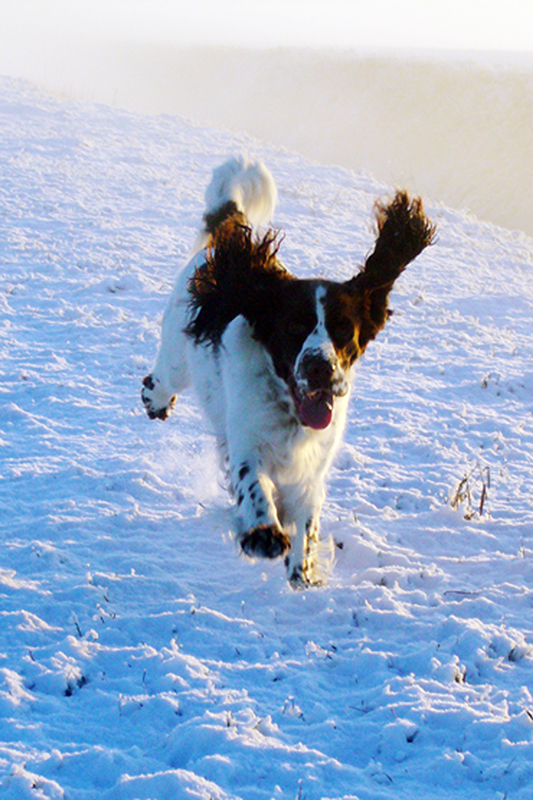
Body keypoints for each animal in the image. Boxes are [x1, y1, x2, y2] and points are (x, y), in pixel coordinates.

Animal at [141, 156, 432, 584]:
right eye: (294, 327)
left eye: (344, 332)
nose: (319, 367)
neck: (291, 415)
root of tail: (224, 245)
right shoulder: (248, 445)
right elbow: (255, 488)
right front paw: (263, 534)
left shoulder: (312, 468)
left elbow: (307, 518)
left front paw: (302, 567)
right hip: (178, 351)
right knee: (162, 378)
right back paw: (155, 401)